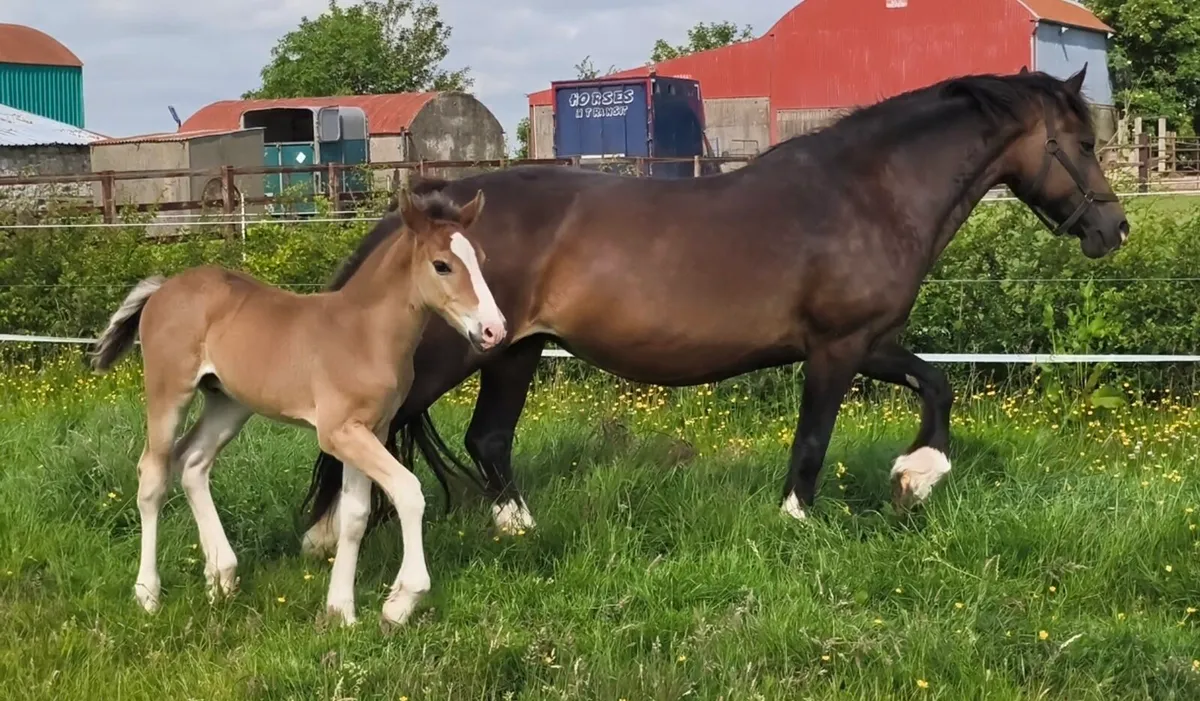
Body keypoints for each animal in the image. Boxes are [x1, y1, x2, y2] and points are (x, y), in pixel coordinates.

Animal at [88, 188, 505, 627]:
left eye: (481, 258)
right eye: (442, 265)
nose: (494, 330)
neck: (364, 334)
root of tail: (163, 287)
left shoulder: (371, 430)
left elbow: (354, 516)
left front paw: (340, 611)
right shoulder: (339, 432)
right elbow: (408, 492)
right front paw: (400, 602)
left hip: (228, 402)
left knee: (193, 461)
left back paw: (222, 576)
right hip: (169, 392)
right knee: (153, 474)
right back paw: (148, 593)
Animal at [298, 66, 1128, 554]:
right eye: (1084, 142)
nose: (1113, 229)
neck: (866, 194)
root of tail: (422, 217)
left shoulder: (867, 340)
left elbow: (939, 385)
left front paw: (914, 478)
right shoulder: (838, 346)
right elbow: (813, 441)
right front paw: (800, 519)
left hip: (513, 348)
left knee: (489, 439)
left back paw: (519, 530)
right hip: (454, 355)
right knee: (366, 431)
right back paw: (326, 539)